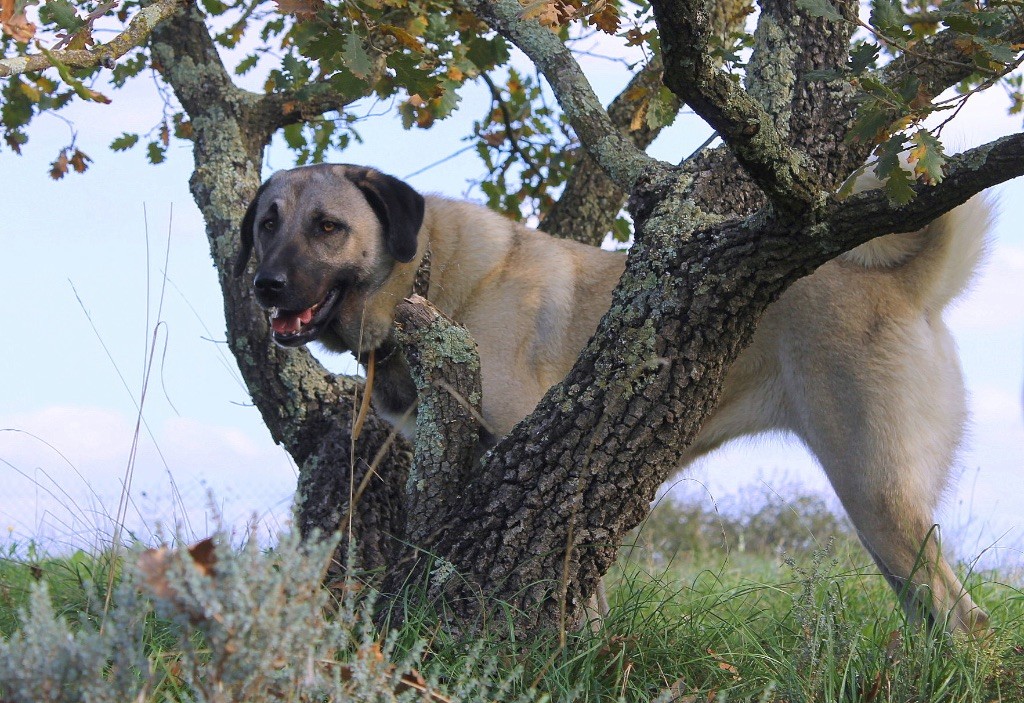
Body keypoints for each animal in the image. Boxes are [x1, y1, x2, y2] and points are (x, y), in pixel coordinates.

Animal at [237, 163, 991, 634]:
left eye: (328, 226)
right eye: (268, 222)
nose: (264, 286)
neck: (426, 273)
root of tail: (905, 282)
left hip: (876, 490)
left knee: (964, 618)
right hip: (881, 515)